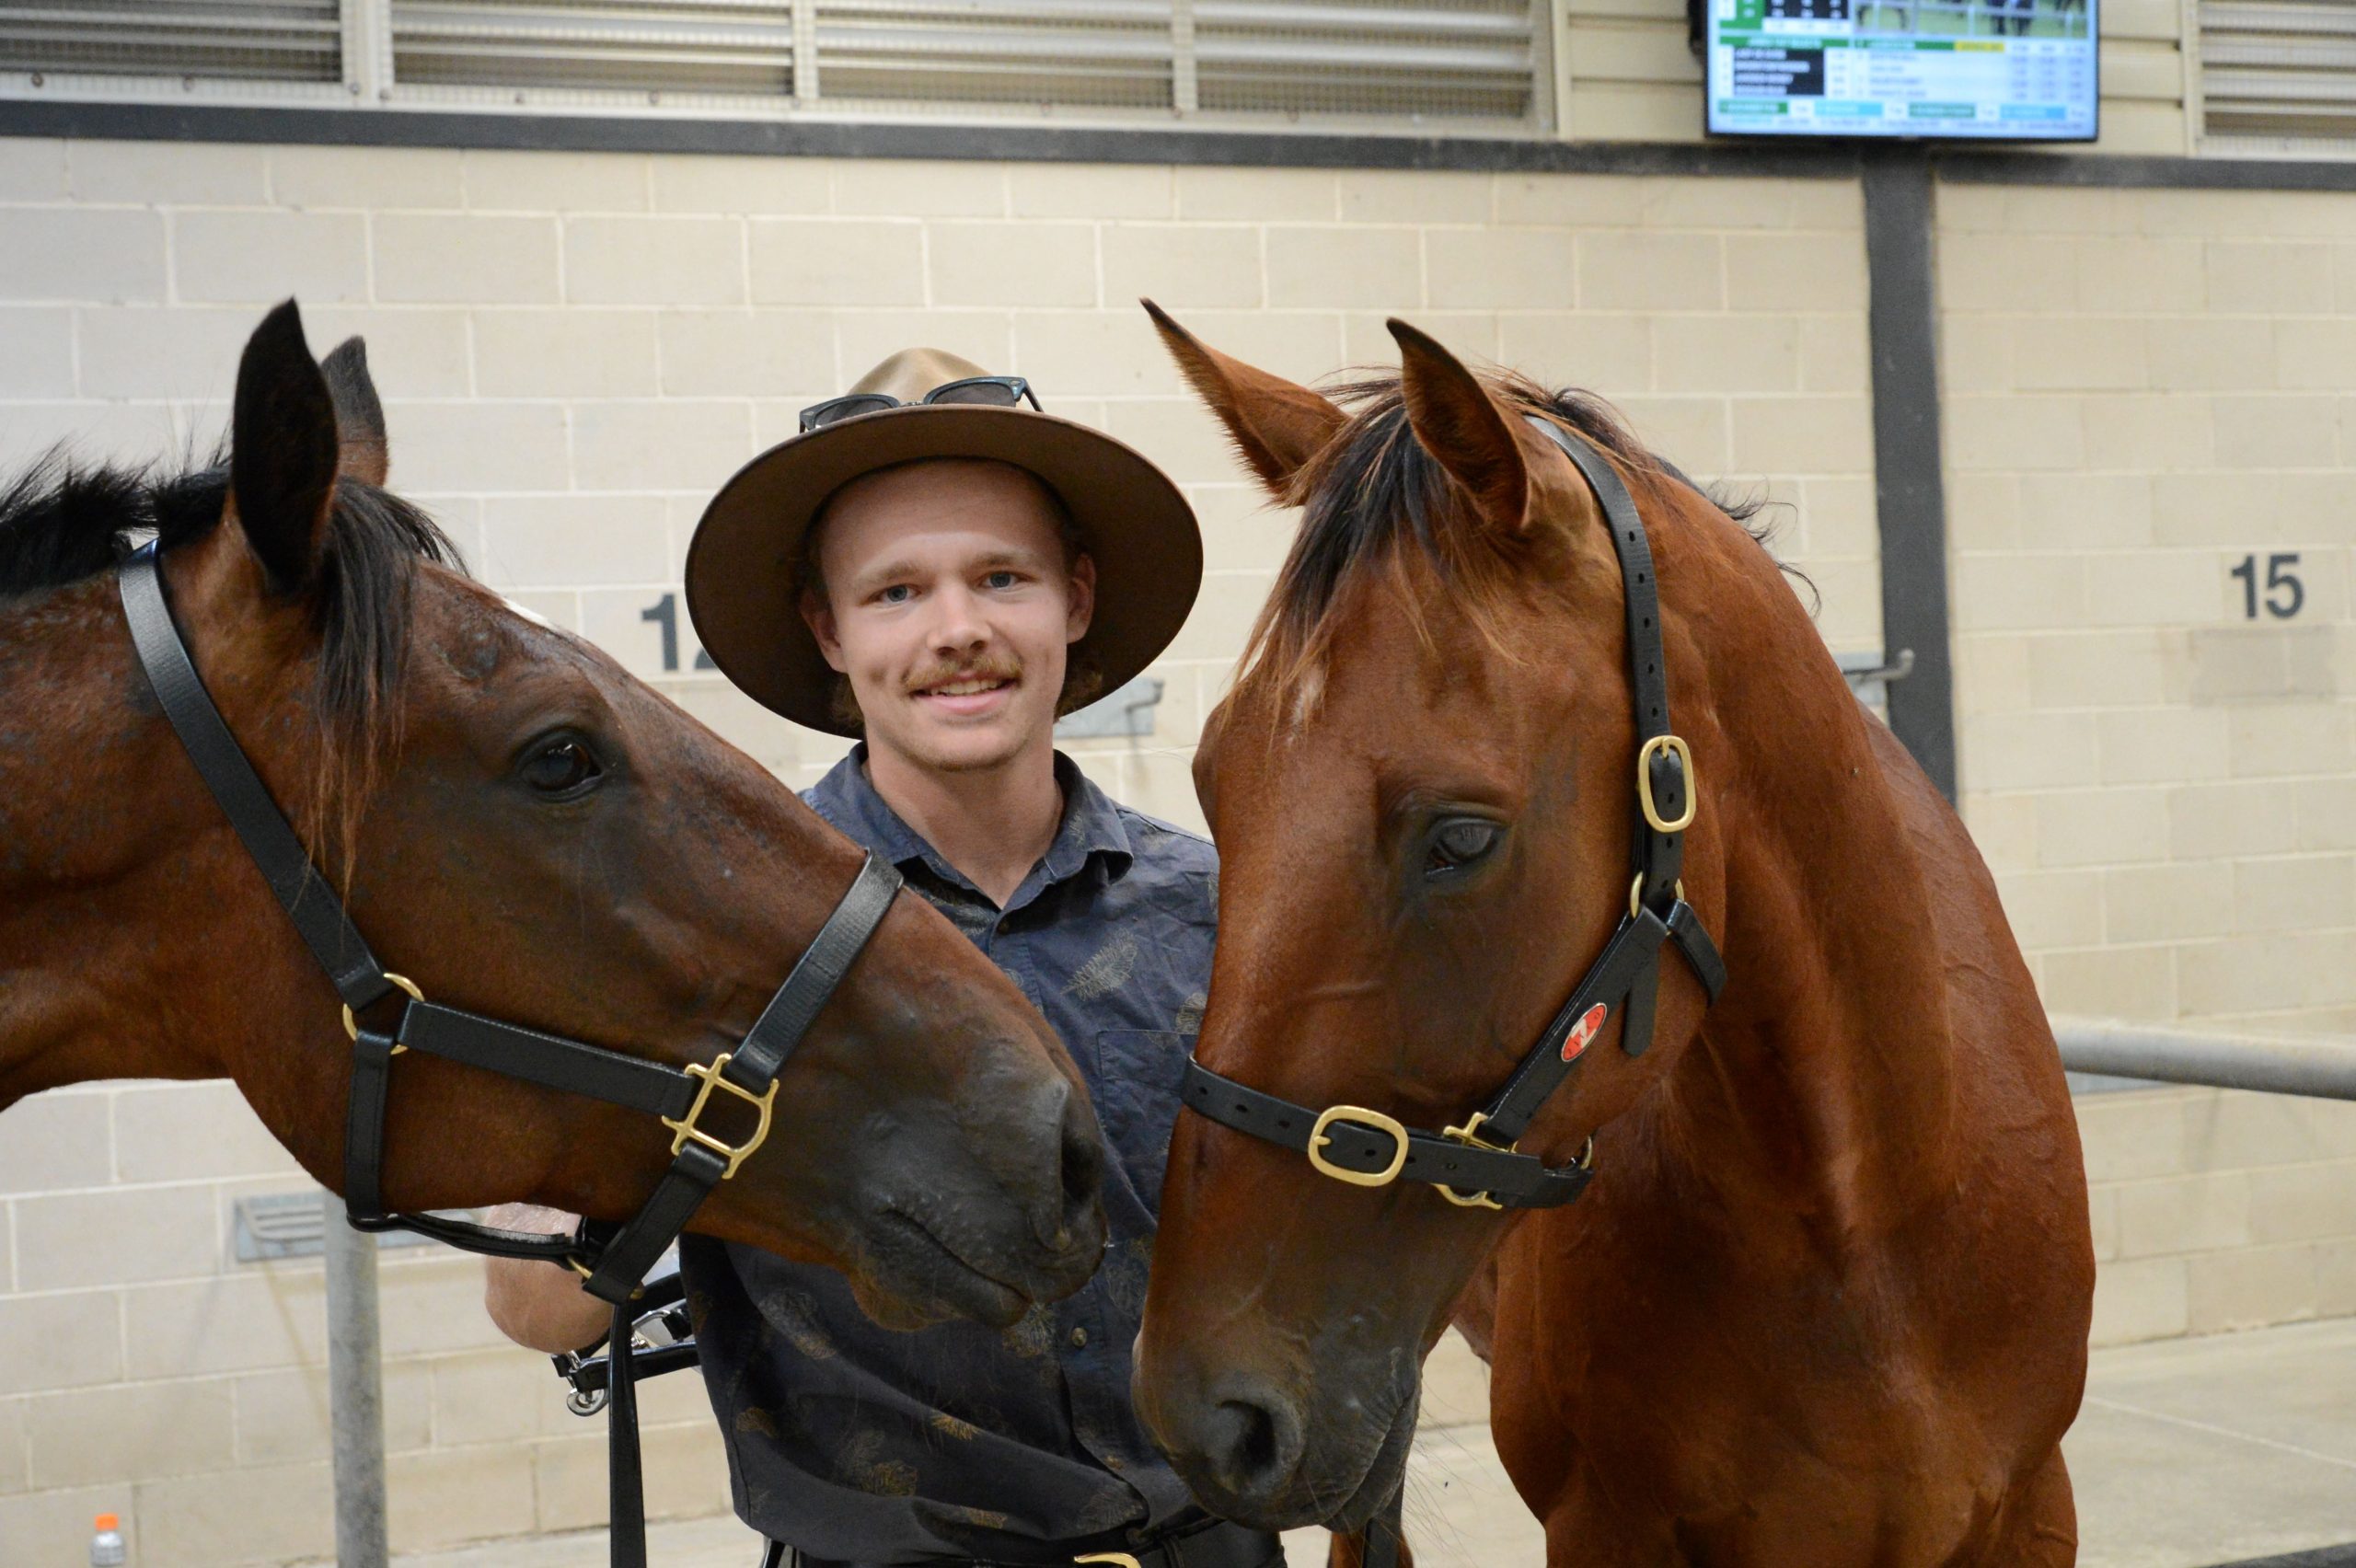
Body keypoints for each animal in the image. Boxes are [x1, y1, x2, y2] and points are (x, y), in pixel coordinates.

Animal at [1130, 305, 2094, 1565]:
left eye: (1461, 838)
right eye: (1213, 785)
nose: (1200, 1414)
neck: (1870, 1223)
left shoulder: (2029, 1510)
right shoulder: (1604, 1524)